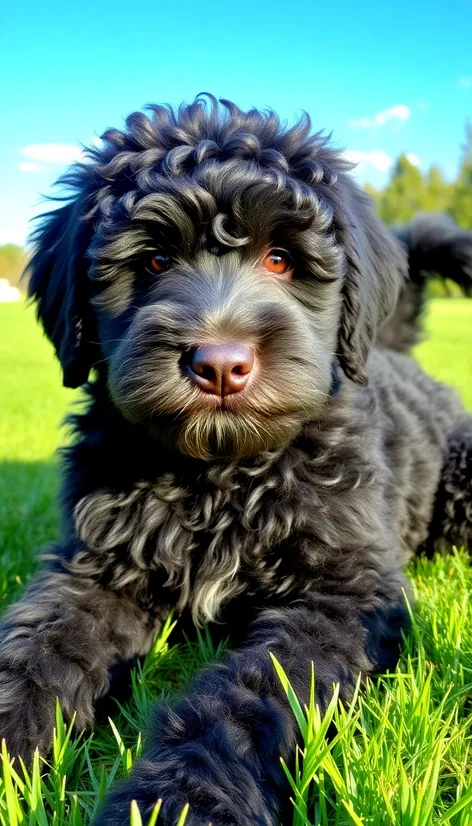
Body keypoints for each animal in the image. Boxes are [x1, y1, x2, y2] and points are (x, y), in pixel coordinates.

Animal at [0, 96, 472, 824]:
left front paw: (179, 799)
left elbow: (250, 700)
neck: (220, 476)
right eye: (155, 260)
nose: (220, 364)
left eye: (280, 259)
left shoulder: (339, 590)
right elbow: (37, 648)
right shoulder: (97, 566)